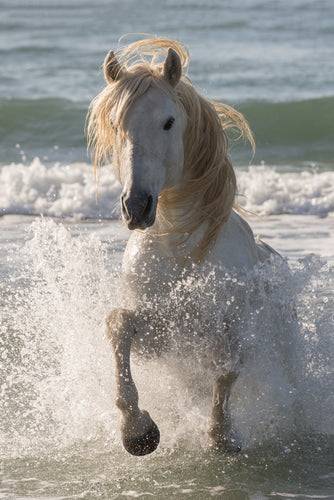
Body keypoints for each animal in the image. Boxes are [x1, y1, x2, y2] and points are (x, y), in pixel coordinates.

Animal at [87, 37, 278, 456]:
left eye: (168, 122)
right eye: (116, 124)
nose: (136, 206)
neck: (181, 251)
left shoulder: (230, 332)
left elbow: (226, 369)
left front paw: (221, 435)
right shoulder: (161, 338)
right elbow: (118, 326)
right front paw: (138, 432)